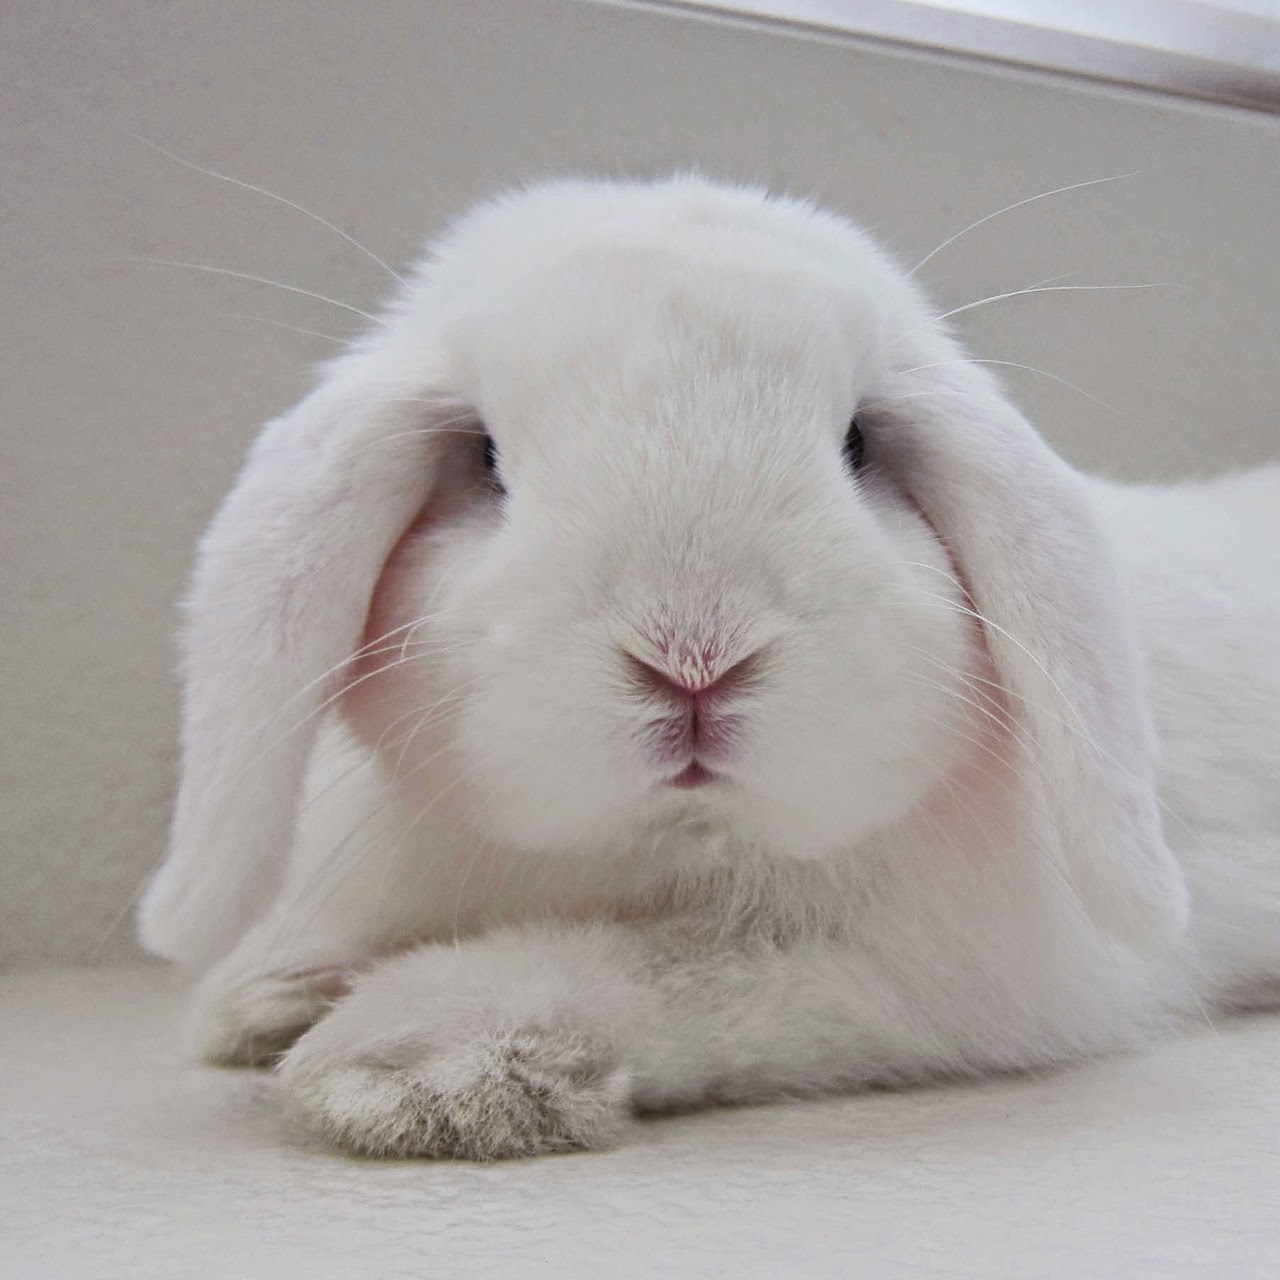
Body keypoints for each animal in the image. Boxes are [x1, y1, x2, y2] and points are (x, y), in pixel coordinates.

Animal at [139, 176, 1280, 1160]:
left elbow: (671, 972)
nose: (694, 658)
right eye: (486, 459)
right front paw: (260, 992)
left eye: (858, 445)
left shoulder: (914, 973)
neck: (658, 847)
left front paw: (406, 1063)